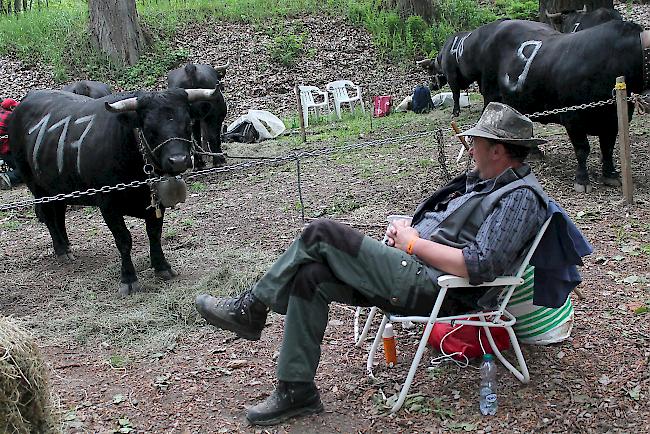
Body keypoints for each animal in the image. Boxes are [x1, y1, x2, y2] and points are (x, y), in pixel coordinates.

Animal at [8, 86, 219, 294]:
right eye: (149, 128)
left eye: (188, 123)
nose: (179, 160)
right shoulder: (108, 205)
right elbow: (124, 240)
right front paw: (129, 279)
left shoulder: (156, 202)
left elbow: (154, 233)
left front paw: (162, 267)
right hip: (36, 186)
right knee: (49, 216)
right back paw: (61, 251)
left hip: (58, 187)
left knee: (59, 214)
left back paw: (67, 247)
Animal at [474, 18, 644, 192]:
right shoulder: (573, 118)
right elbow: (582, 149)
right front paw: (582, 180)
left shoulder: (614, 120)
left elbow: (607, 147)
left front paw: (611, 175)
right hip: (491, 95)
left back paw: (534, 152)